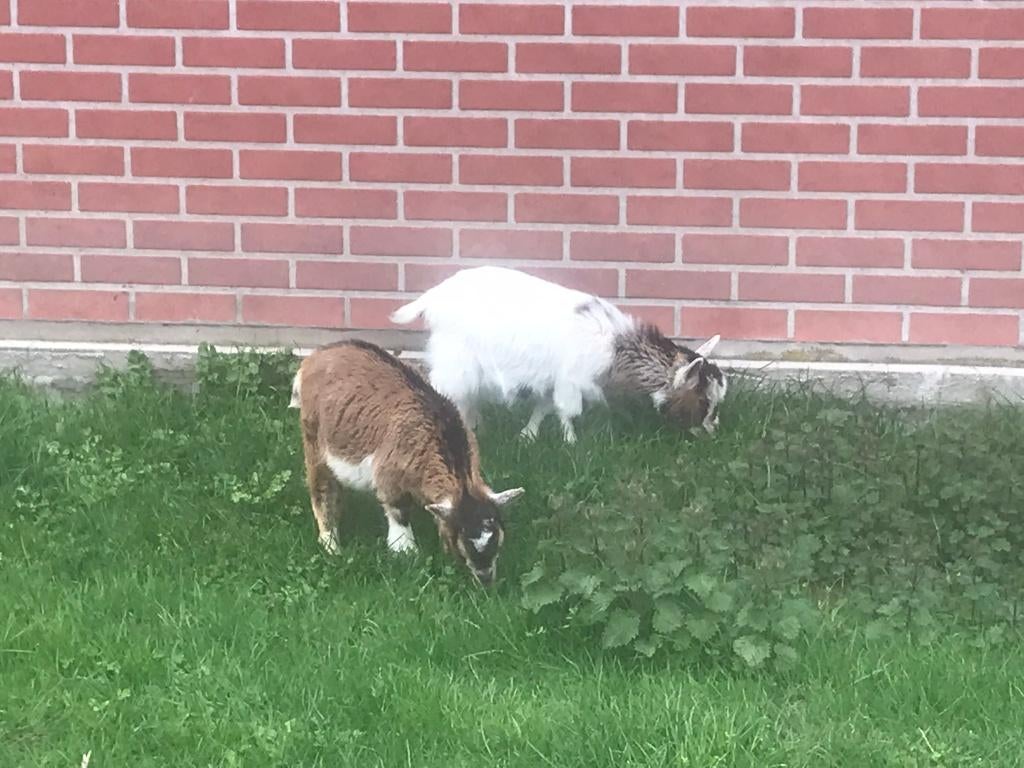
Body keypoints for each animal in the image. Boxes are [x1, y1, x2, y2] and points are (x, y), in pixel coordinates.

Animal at [290, 339, 524, 585]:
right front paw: (404, 550)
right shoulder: (389, 474)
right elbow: (398, 510)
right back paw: (331, 544)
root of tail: (314, 359)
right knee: (321, 488)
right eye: (461, 540)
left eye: (498, 539)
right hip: (314, 439)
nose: (486, 579)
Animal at [390, 266, 727, 443]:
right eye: (703, 400)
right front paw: (571, 442)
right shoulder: (570, 379)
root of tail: (433, 297)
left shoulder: (552, 379)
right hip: (456, 358)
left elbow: (544, 407)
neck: (616, 349)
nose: (713, 431)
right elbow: (567, 411)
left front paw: (528, 434)